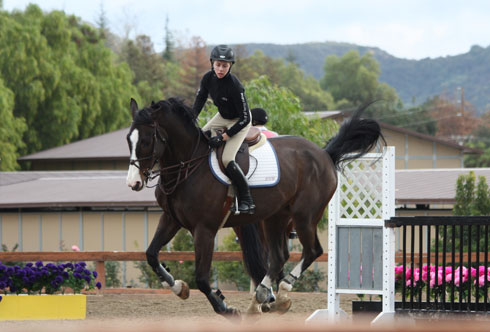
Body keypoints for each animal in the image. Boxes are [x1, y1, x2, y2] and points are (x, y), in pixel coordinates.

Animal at [124, 97, 384, 318]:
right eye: (129, 140)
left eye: (146, 141)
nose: (133, 183)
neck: (187, 167)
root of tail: (324, 154)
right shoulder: (171, 219)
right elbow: (151, 254)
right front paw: (178, 287)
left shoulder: (205, 229)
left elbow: (202, 278)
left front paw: (225, 308)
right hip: (274, 218)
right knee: (278, 257)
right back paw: (261, 296)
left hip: (305, 216)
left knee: (312, 251)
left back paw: (281, 291)